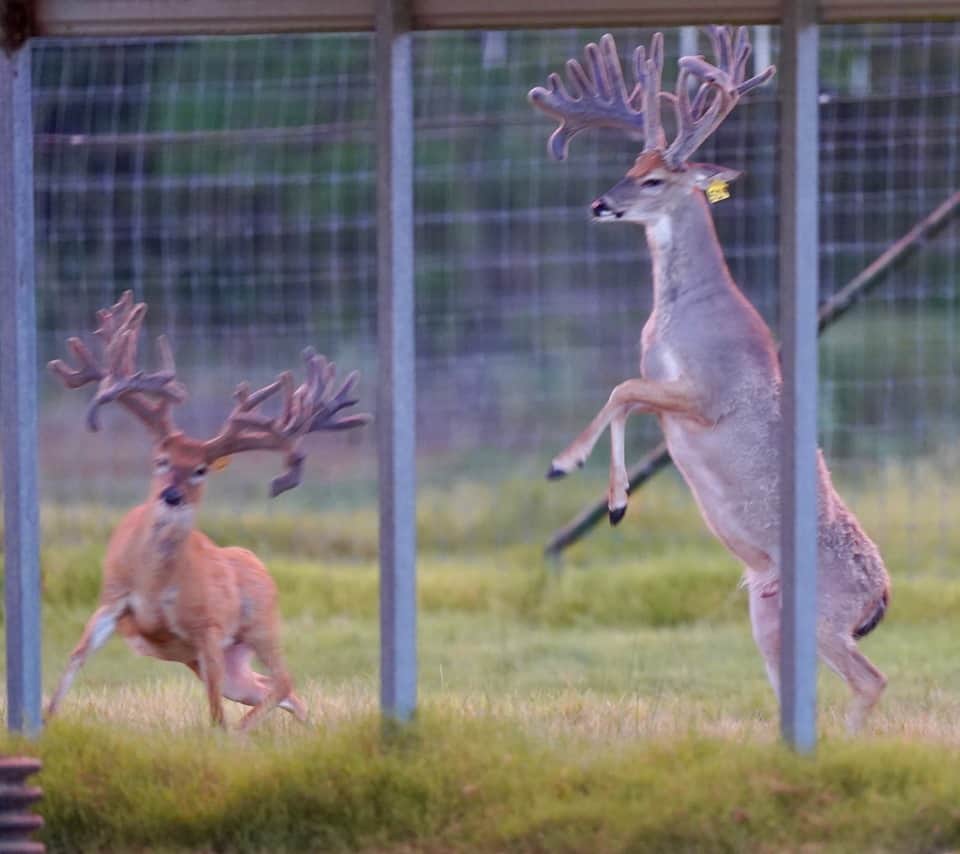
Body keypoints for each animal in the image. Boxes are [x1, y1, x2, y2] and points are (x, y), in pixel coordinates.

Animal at [45, 291, 371, 730]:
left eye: (200, 469)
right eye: (161, 460)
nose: (172, 496)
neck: (155, 584)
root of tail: (257, 562)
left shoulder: (209, 627)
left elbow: (215, 713)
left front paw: (219, 736)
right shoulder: (112, 598)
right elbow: (75, 657)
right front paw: (45, 720)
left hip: (261, 625)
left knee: (282, 681)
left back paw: (248, 734)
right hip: (231, 663)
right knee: (271, 687)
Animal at [529, 27, 890, 731]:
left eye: (654, 178)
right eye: (630, 165)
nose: (600, 203)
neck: (683, 314)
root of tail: (880, 597)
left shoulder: (708, 394)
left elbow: (619, 391)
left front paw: (571, 468)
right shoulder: (670, 396)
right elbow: (625, 399)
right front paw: (613, 500)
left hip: (823, 614)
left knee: (871, 680)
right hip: (765, 608)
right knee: (801, 684)